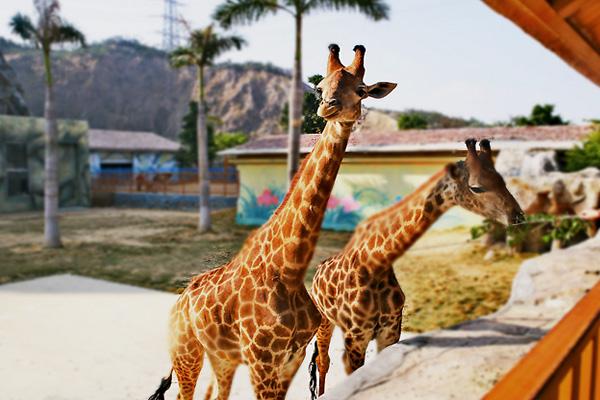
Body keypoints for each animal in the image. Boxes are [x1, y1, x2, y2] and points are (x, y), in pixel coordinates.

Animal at [148, 43, 396, 400]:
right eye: (320, 87)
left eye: (361, 90)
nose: (329, 108)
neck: (289, 268)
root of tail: (178, 304)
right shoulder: (262, 360)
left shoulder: (291, 357)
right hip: (187, 352)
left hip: (221, 357)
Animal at [310, 139, 524, 396]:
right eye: (476, 187)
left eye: (502, 180)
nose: (518, 217)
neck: (376, 264)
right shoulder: (356, 336)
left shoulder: (390, 332)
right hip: (324, 318)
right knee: (323, 359)